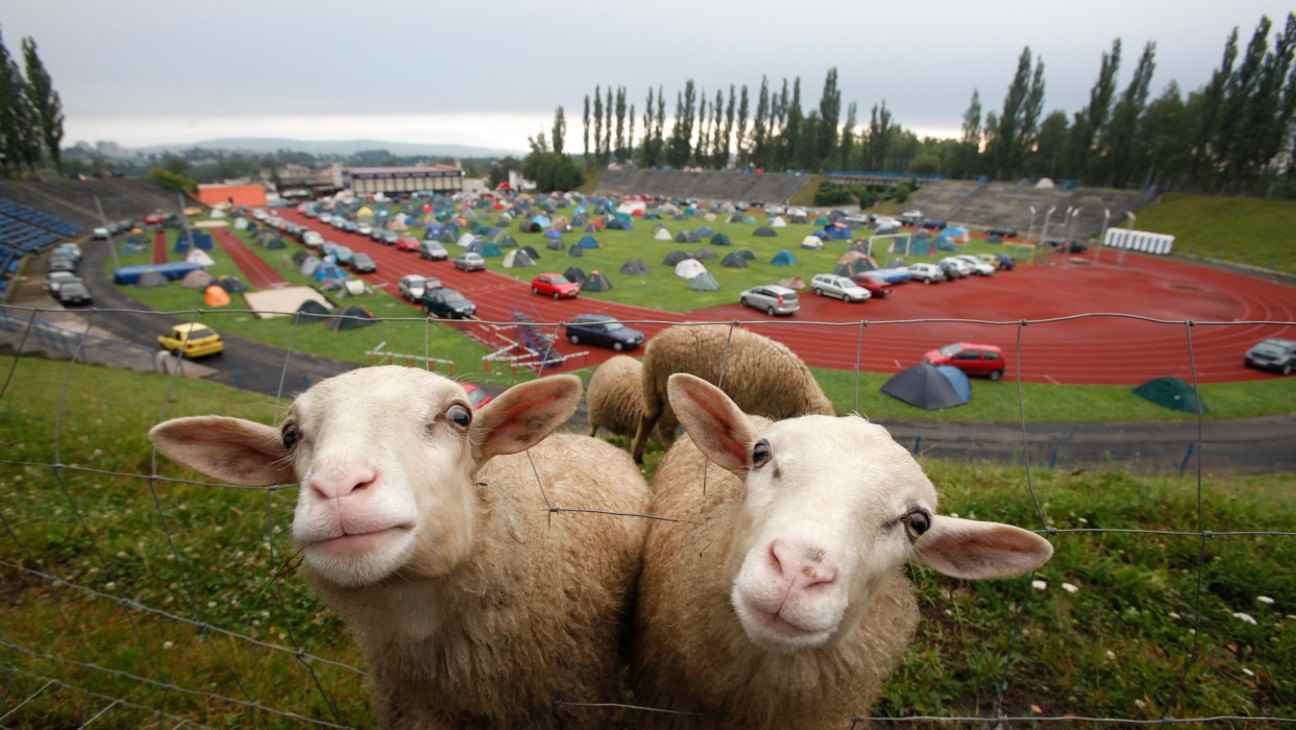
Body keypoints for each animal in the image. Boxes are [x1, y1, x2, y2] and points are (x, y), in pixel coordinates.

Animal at [632, 325, 834, 461]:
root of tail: (655, 344)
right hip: (668, 396)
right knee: (664, 429)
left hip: (652, 388)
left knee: (647, 418)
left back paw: (637, 456)